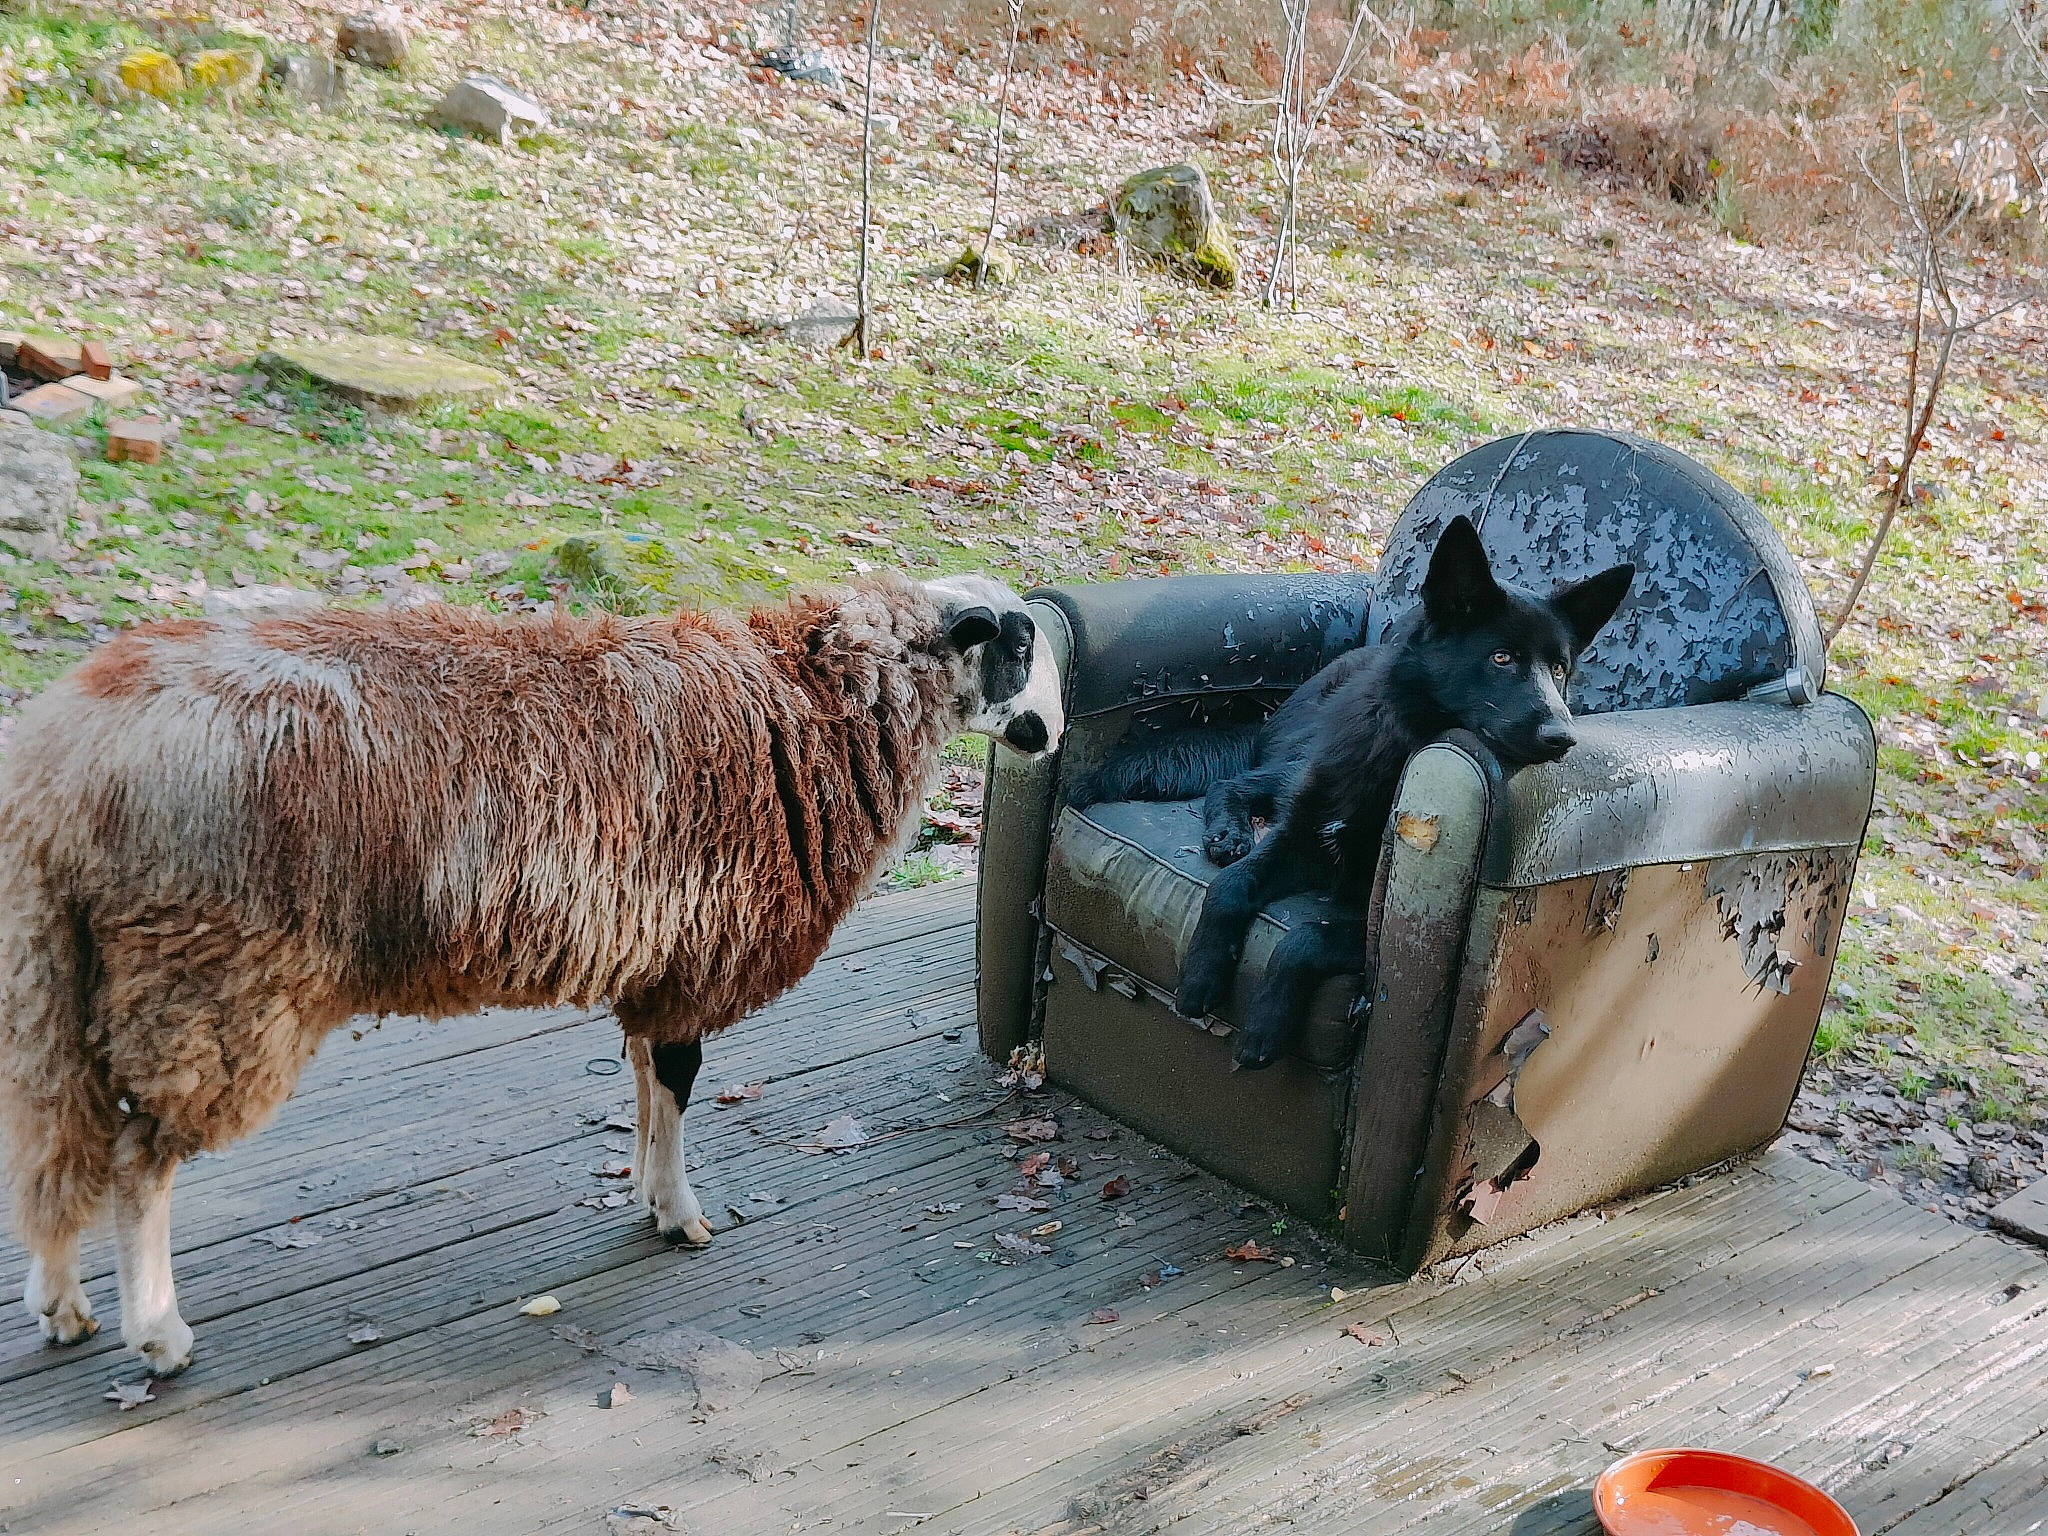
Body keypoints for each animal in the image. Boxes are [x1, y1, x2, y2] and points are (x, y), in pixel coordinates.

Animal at [0, 571, 1062, 1377]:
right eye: (1016, 646)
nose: (1050, 732)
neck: (815, 704)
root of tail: (65, 763)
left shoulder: (659, 954)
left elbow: (644, 1081)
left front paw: (644, 1193)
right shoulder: (697, 952)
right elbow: (679, 1082)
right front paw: (678, 1213)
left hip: (61, 967)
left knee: (57, 1141)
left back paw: (61, 1303)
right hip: (204, 975)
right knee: (138, 1160)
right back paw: (157, 1334)